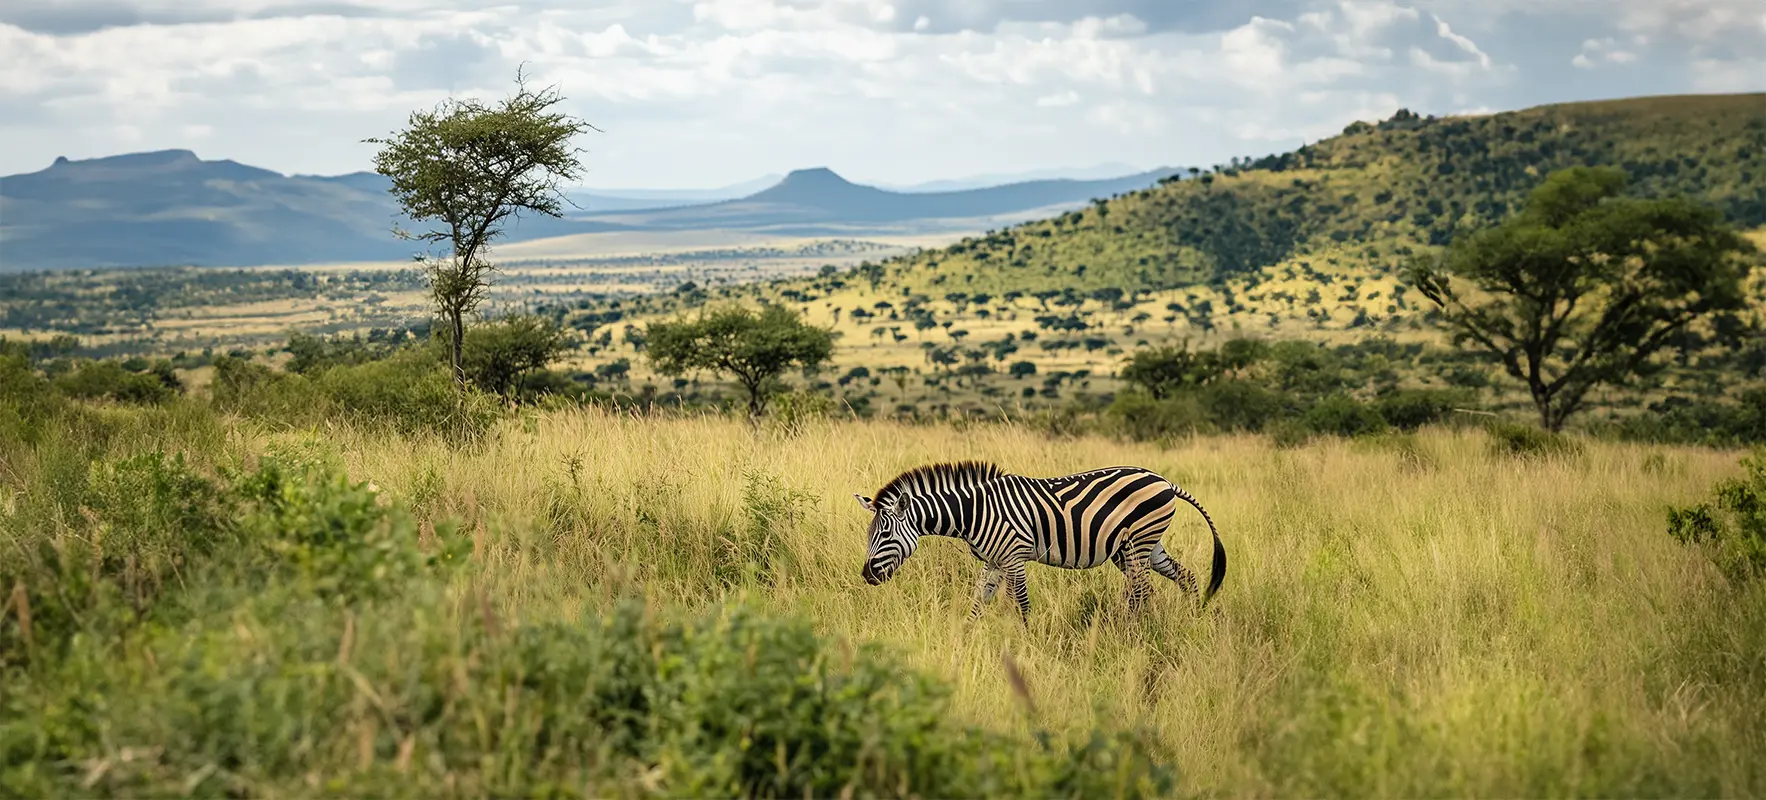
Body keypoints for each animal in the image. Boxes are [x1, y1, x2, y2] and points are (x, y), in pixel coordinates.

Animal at [858, 459, 1229, 621]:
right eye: (870, 535)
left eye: (885, 534)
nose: (867, 576)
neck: (973, 511)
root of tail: (1164, 480)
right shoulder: (993, 561)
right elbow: (978, 602)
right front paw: (966, 636)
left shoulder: (1013, 557)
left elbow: (1021, 602)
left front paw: (1024, 640)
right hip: (1143, 546)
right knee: (1183, 576)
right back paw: (1191, 617)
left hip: (1138, 542)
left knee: (1142, 590)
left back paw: (1131, 630)